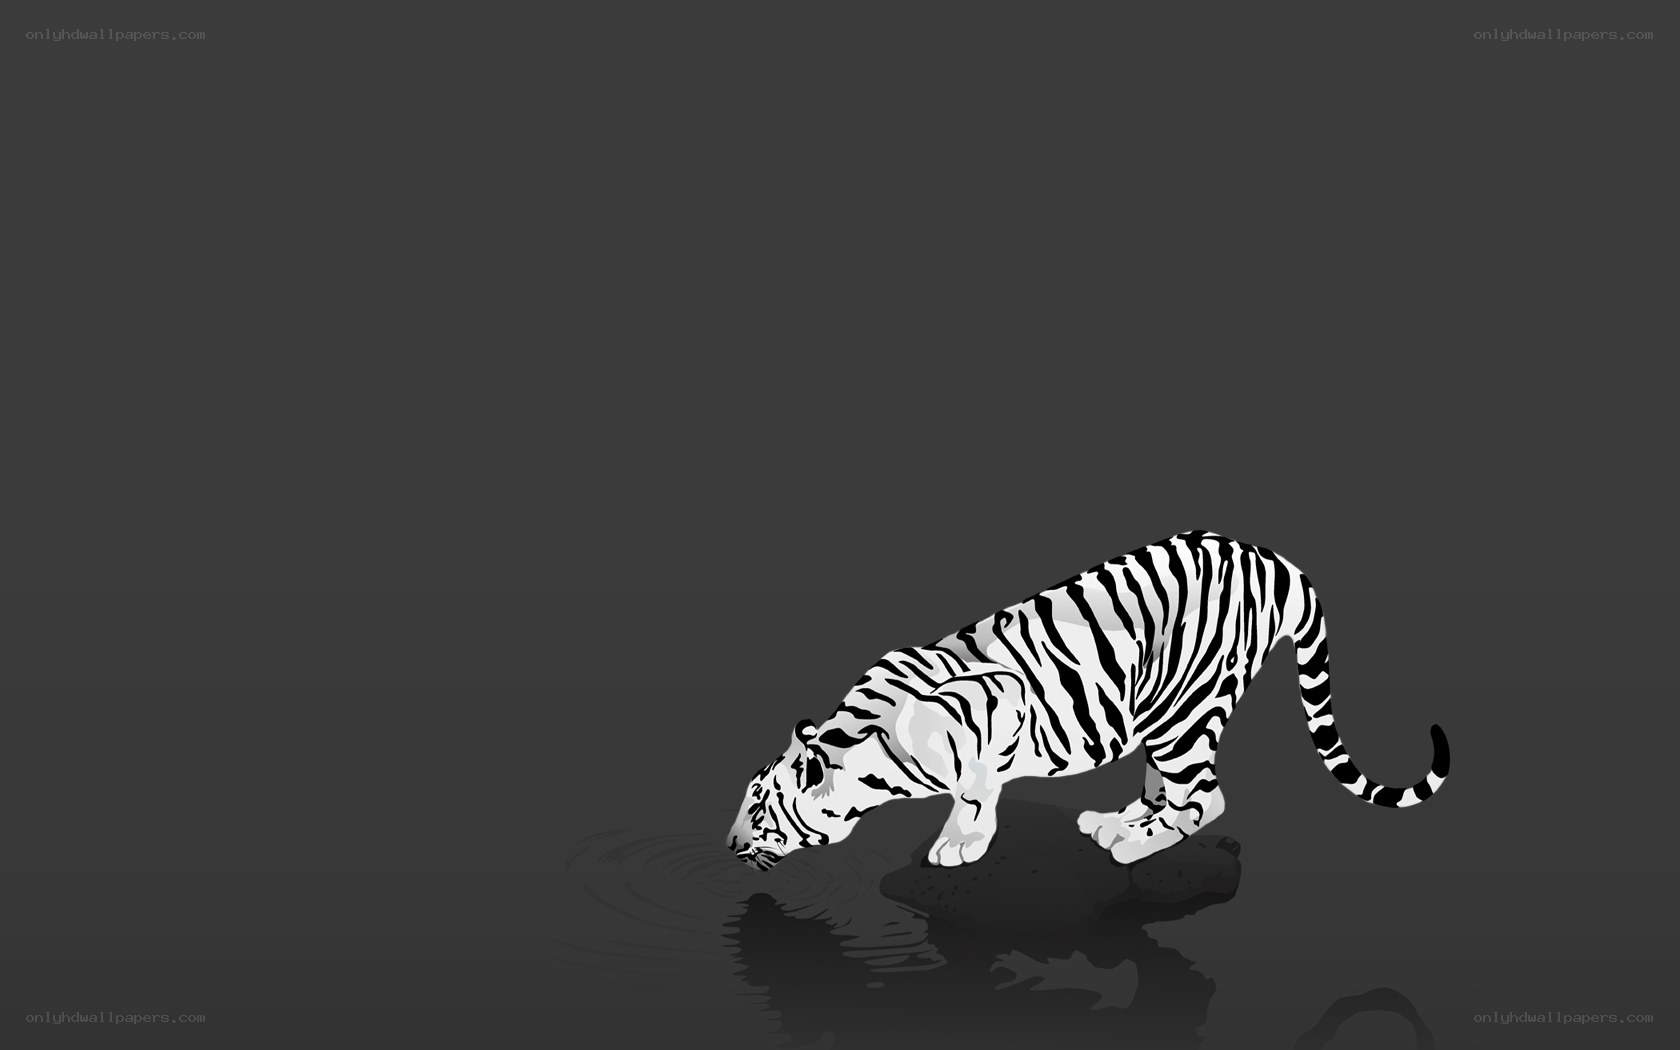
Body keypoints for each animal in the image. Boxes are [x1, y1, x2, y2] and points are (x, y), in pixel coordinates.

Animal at [727, 531, 1449, 871]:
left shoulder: (999, 704)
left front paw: (960, 843)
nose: (729, 846)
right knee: (1167, 788)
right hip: (1163, 712)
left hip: (1185, 714)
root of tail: (1272, 559)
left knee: (1205, 799)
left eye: (759, 809)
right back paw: (1119, 820)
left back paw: (1133, 844)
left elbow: (975, 789)